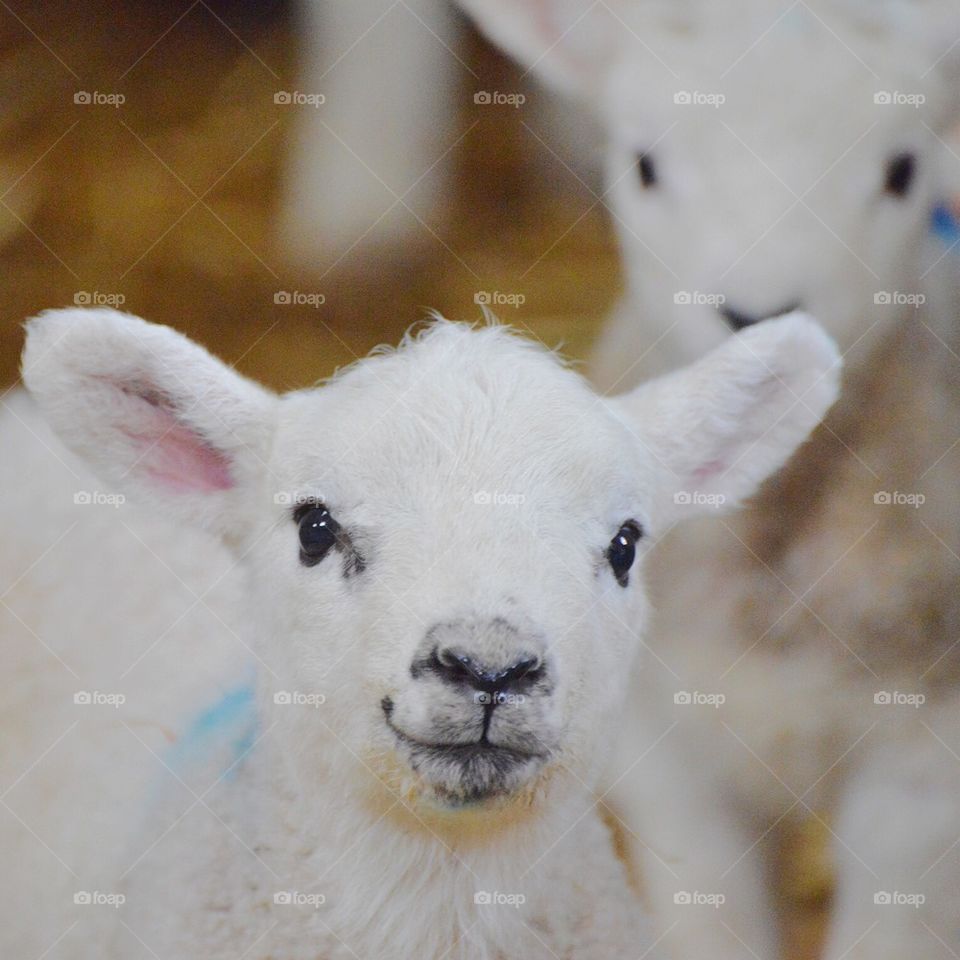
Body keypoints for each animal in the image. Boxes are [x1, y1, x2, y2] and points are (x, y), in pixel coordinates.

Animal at [457, 1, 960, 958]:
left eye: (903, 171)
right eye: (645, 166)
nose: (759, 312)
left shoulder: (921, 757)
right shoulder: (662, 751)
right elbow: (712, 909)